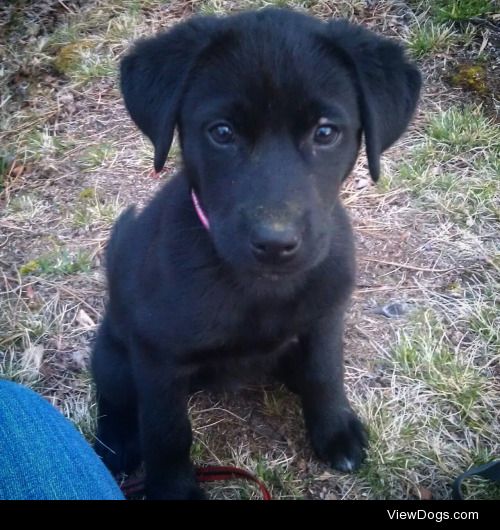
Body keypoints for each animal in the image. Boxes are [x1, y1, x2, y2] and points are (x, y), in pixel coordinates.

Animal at [92, 6, 420, 498]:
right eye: (222, 132)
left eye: (325, 132)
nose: (275, 243)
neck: (261, 290)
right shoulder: (157, 358)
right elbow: (166, 431)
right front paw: (173, 488)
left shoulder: (325, 317)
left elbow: (325, 373)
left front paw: (334, 431)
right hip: (113, 353)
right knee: (113, 400)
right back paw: (116, 447)